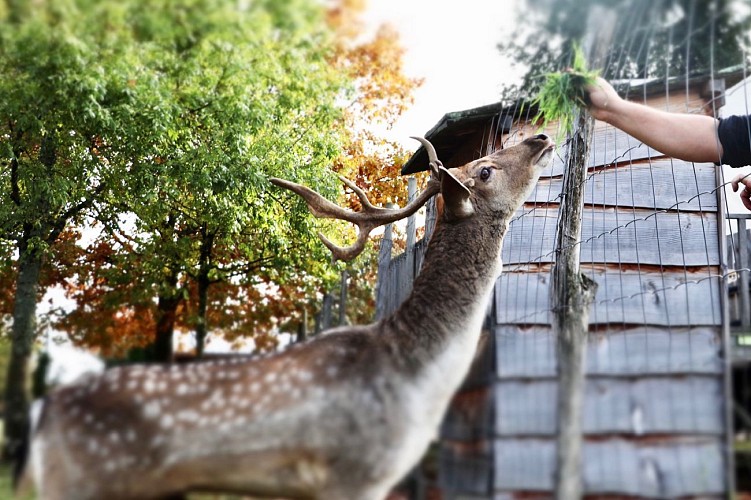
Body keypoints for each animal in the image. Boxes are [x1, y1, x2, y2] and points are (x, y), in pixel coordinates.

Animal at [20, 134, 556, 500]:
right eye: (485, 170)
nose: (539, 138)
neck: (416, 383)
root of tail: (44, 413)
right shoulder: (352, 474)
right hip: (82, 481)